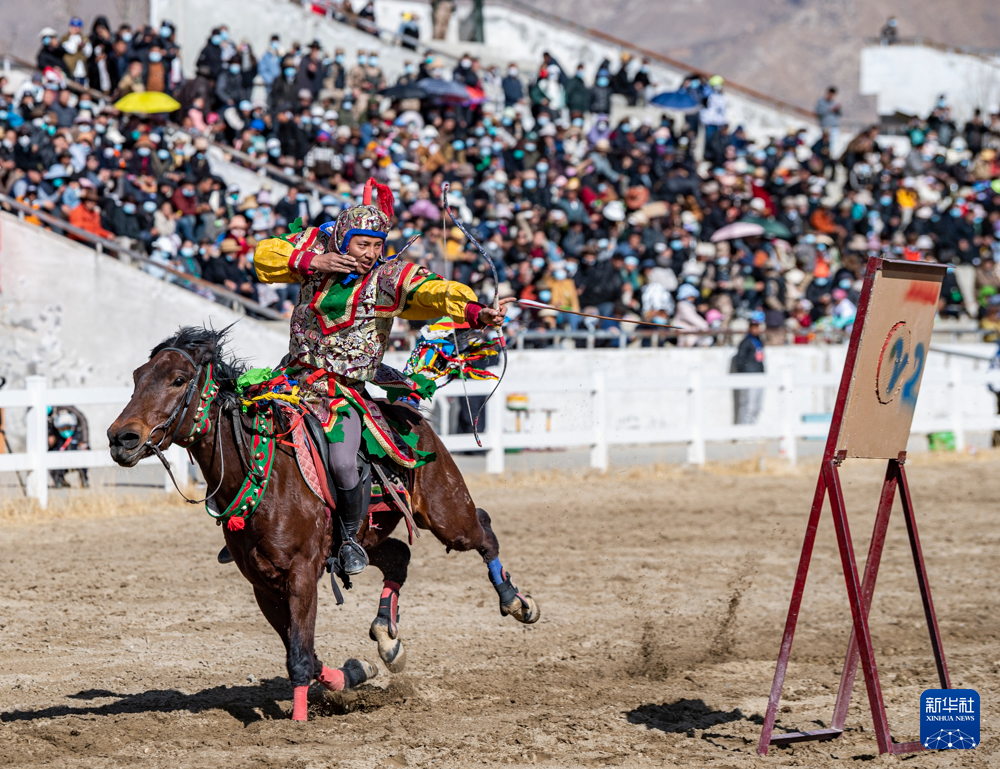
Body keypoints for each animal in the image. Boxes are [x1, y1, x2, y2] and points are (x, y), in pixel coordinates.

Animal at [107, 326, 540, 720]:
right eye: (137, 377)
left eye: (179, 380)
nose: (120, 438)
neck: (265, 472)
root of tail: (407, 409)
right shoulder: (264, 585)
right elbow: (306, 654)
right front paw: (354, 674)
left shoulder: (301, 574)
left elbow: (300, 655)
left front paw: (298, 721)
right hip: (365, 539)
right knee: (398, 556)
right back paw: (387, 640)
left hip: (446, 512)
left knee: (483, 529)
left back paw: (515, 601)